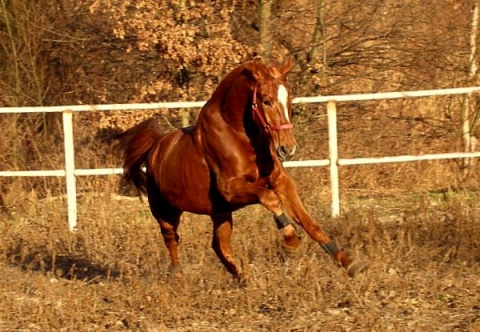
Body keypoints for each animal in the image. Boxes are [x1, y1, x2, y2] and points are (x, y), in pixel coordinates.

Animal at [115, 58, 364, 278]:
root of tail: (155, 147)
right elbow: (270, 198)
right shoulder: (231, 189)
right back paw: (178, 278)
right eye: (265, 100)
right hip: (166, 212)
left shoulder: (280, 181)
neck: (239, 136)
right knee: (172, 240)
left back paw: (242, 278)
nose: (288, 149)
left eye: (290, 99)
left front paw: (349, 263)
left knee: (219, 245)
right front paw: (291, 238)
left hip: (220, 213)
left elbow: (309, 222)